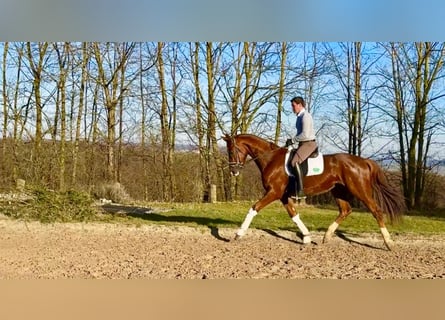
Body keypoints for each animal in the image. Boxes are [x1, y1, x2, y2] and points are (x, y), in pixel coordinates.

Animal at [222, 132, 406, 250]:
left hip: (359, 190)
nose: (233, 172)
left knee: (376, 211)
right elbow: (294, 215)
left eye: (232, 150)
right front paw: (307, 238)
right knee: (345, 210)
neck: (271, 159)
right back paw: (327, 236)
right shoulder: (283, 195)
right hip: (338, 191)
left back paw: (389, 243)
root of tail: (364, 161)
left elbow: (254, 208)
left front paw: (239, 233)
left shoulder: (274, 192)